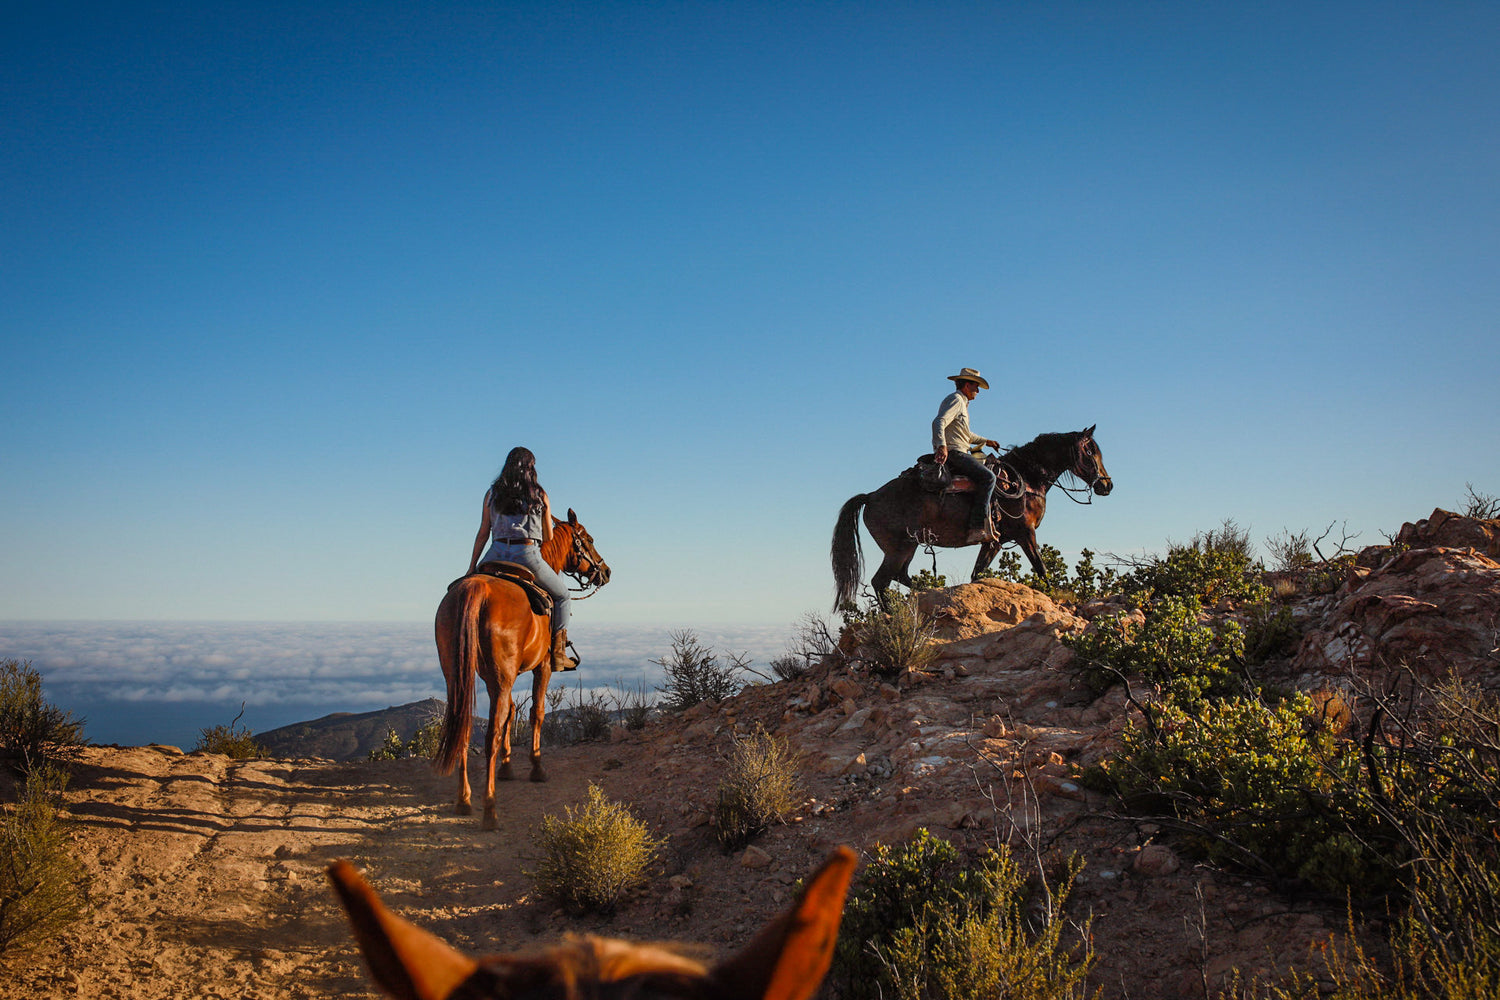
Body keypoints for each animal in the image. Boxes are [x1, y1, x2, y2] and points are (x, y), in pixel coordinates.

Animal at [432, 512, 606, 833]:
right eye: (588, 539)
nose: (606, 571)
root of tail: (475, 590)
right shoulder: (542, 668)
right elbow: (536, 713)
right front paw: (537, 767)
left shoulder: (496, 678)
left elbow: (511, 713)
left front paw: (508, 767)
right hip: (503, 676)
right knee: (488, 735)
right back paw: (489, 810)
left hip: (457, 675)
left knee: (464, 726)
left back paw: (464, 800)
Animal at [834, 425, 1116, 605]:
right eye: (1090, 451)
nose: (1107, 485)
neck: (1025, 479)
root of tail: (871, 496)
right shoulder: (1026, 533)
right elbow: (1041, 567)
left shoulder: (995, 541)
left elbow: (977, 573)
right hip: (898, 549)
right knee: (881, 582)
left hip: (909, 547)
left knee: (900, 576)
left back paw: (929, 592)